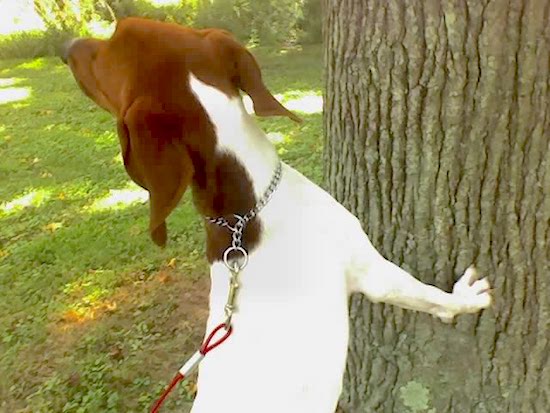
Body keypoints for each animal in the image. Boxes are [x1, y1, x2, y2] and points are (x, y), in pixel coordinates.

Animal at [62, 16, 494, 412]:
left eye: (113, 38)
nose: (67, 47)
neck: (243, 213)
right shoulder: (367, 268)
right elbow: (428, 297)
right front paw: (465, 299)